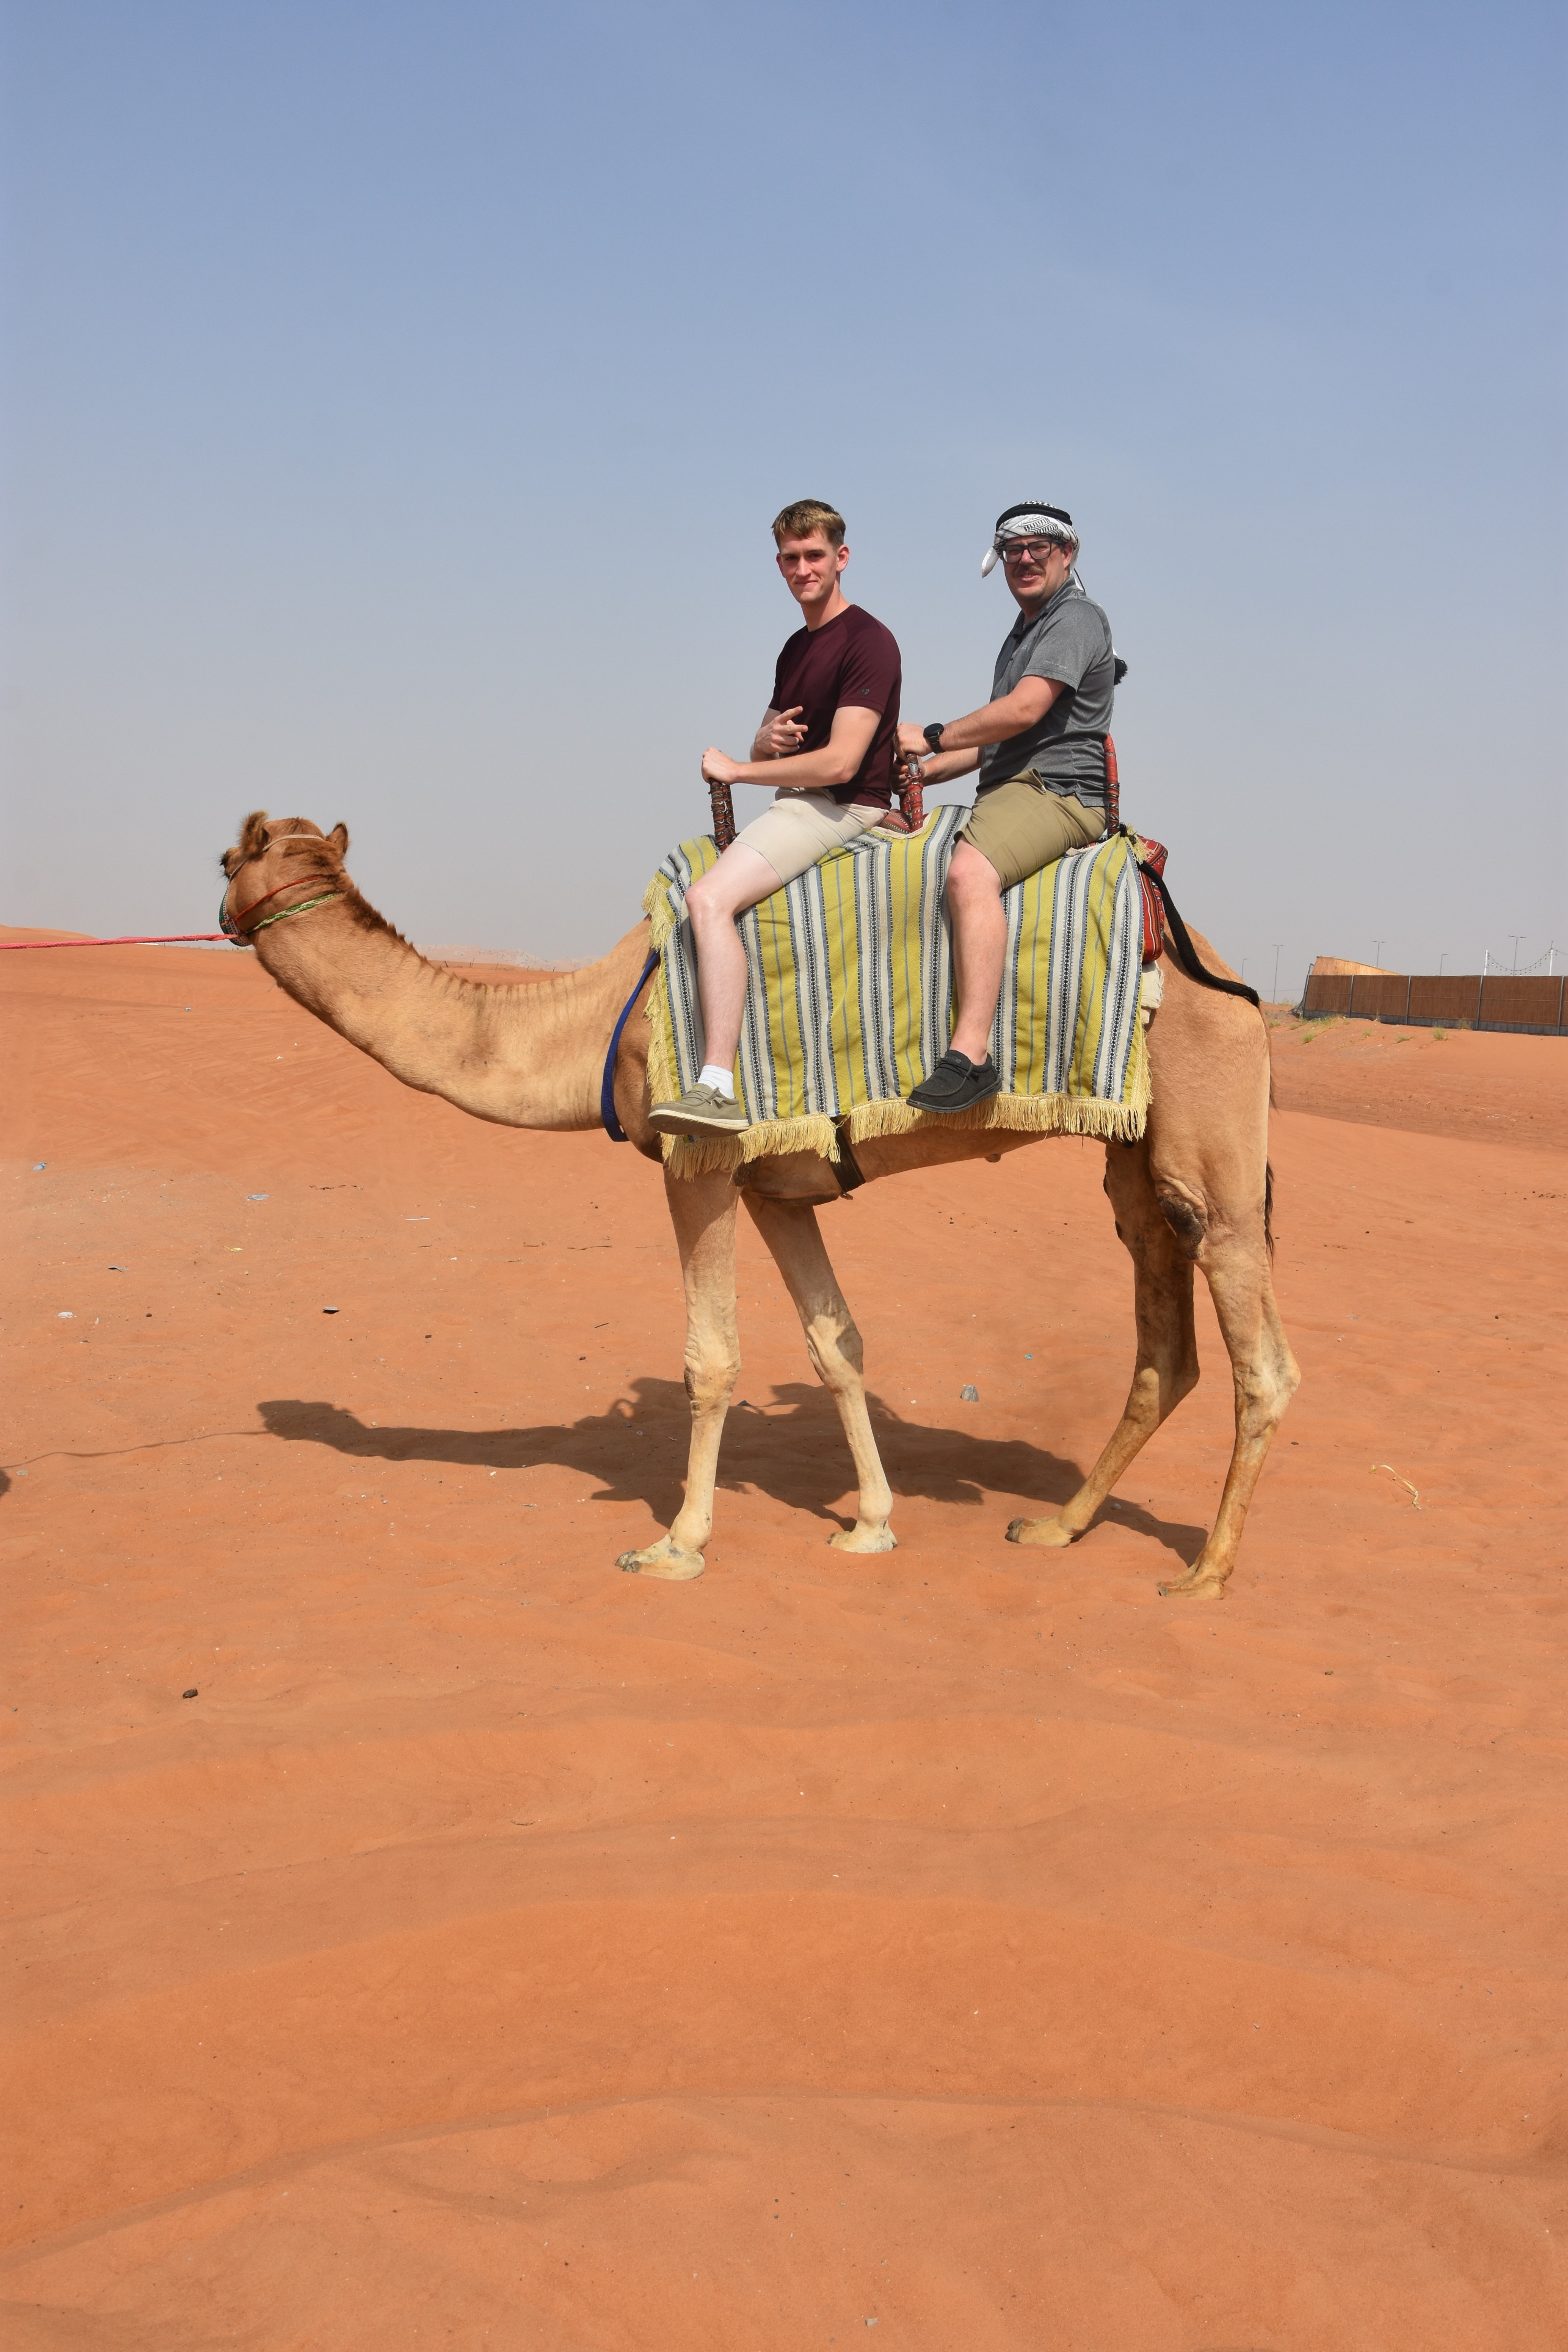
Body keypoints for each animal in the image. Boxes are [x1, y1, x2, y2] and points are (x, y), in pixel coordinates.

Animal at [221, 809, 1297, 1599]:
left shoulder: (698, 1161)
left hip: (1211, 1123)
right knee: (1164, 1339)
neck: (597, 1019)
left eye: (229, 854)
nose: (223, 911)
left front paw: (677, 1543)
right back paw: (1058, 1525)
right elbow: (836, 1341)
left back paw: (1205, 1571)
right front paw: (870, 1524)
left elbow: (711, 1356)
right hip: (1136, 1160)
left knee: (1260, 1352)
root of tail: (1222, 970)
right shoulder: (780, 1186)